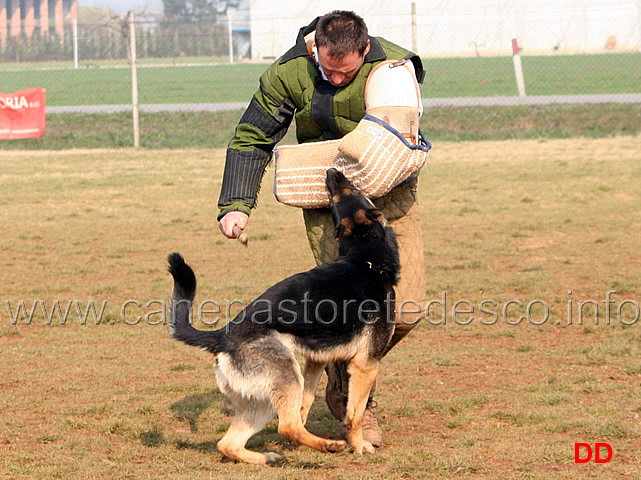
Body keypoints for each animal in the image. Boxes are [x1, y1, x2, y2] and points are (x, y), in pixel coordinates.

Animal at [169, 169, 400, 464]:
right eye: (351, 191)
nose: (331, 172)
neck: (364, 258)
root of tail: (223, 336)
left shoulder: (317, 359)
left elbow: (308, 400)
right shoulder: (366, 363)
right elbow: (354, 414)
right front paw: (359, 446)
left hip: (263, 402)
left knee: (229, 444)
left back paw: (269, 457)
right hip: (286, 374)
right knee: (286, 426)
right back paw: (328, 445)